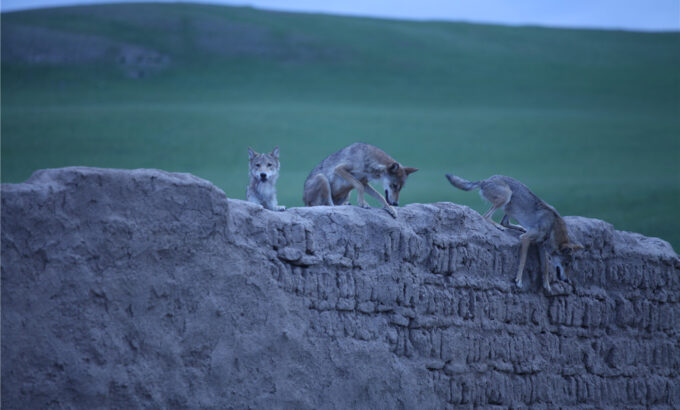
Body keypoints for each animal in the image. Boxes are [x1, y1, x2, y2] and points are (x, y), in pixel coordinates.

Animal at [446, 173, 584, 292]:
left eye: (570, 265)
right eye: (566, 264)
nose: (566, 280)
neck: (552, 227)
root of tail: (486, 180)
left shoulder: (541, 245)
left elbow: (545, 267)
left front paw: (547, 285)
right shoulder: (526, 239)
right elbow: (523, 261)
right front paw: (518, 281)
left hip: (509, 206)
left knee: (504, 222)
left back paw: (518, 227)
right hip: (507, 196)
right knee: (487, 216)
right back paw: (499, 227)